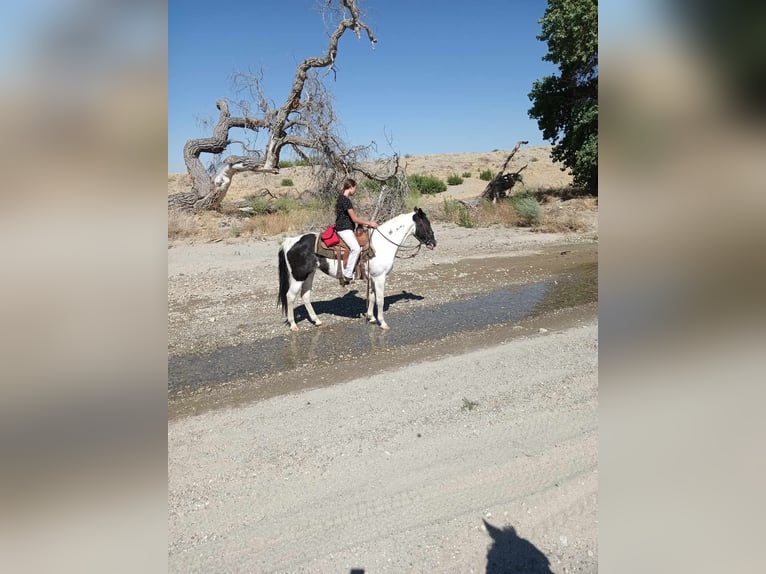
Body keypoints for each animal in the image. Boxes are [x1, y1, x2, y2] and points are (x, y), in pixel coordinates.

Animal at [280, 209, 438, 330]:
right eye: (426, 223)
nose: (433, 243)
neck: (383, 244)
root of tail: (289, 242)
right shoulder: (380, 277)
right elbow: (380, 300)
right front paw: (383, 322)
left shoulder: (373, 277)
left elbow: (372, 297)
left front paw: (371, 317)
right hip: (298, 277)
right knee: (290, 296)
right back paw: (293, 325)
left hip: (309, 274)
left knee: (305, 295)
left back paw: (317, 321)